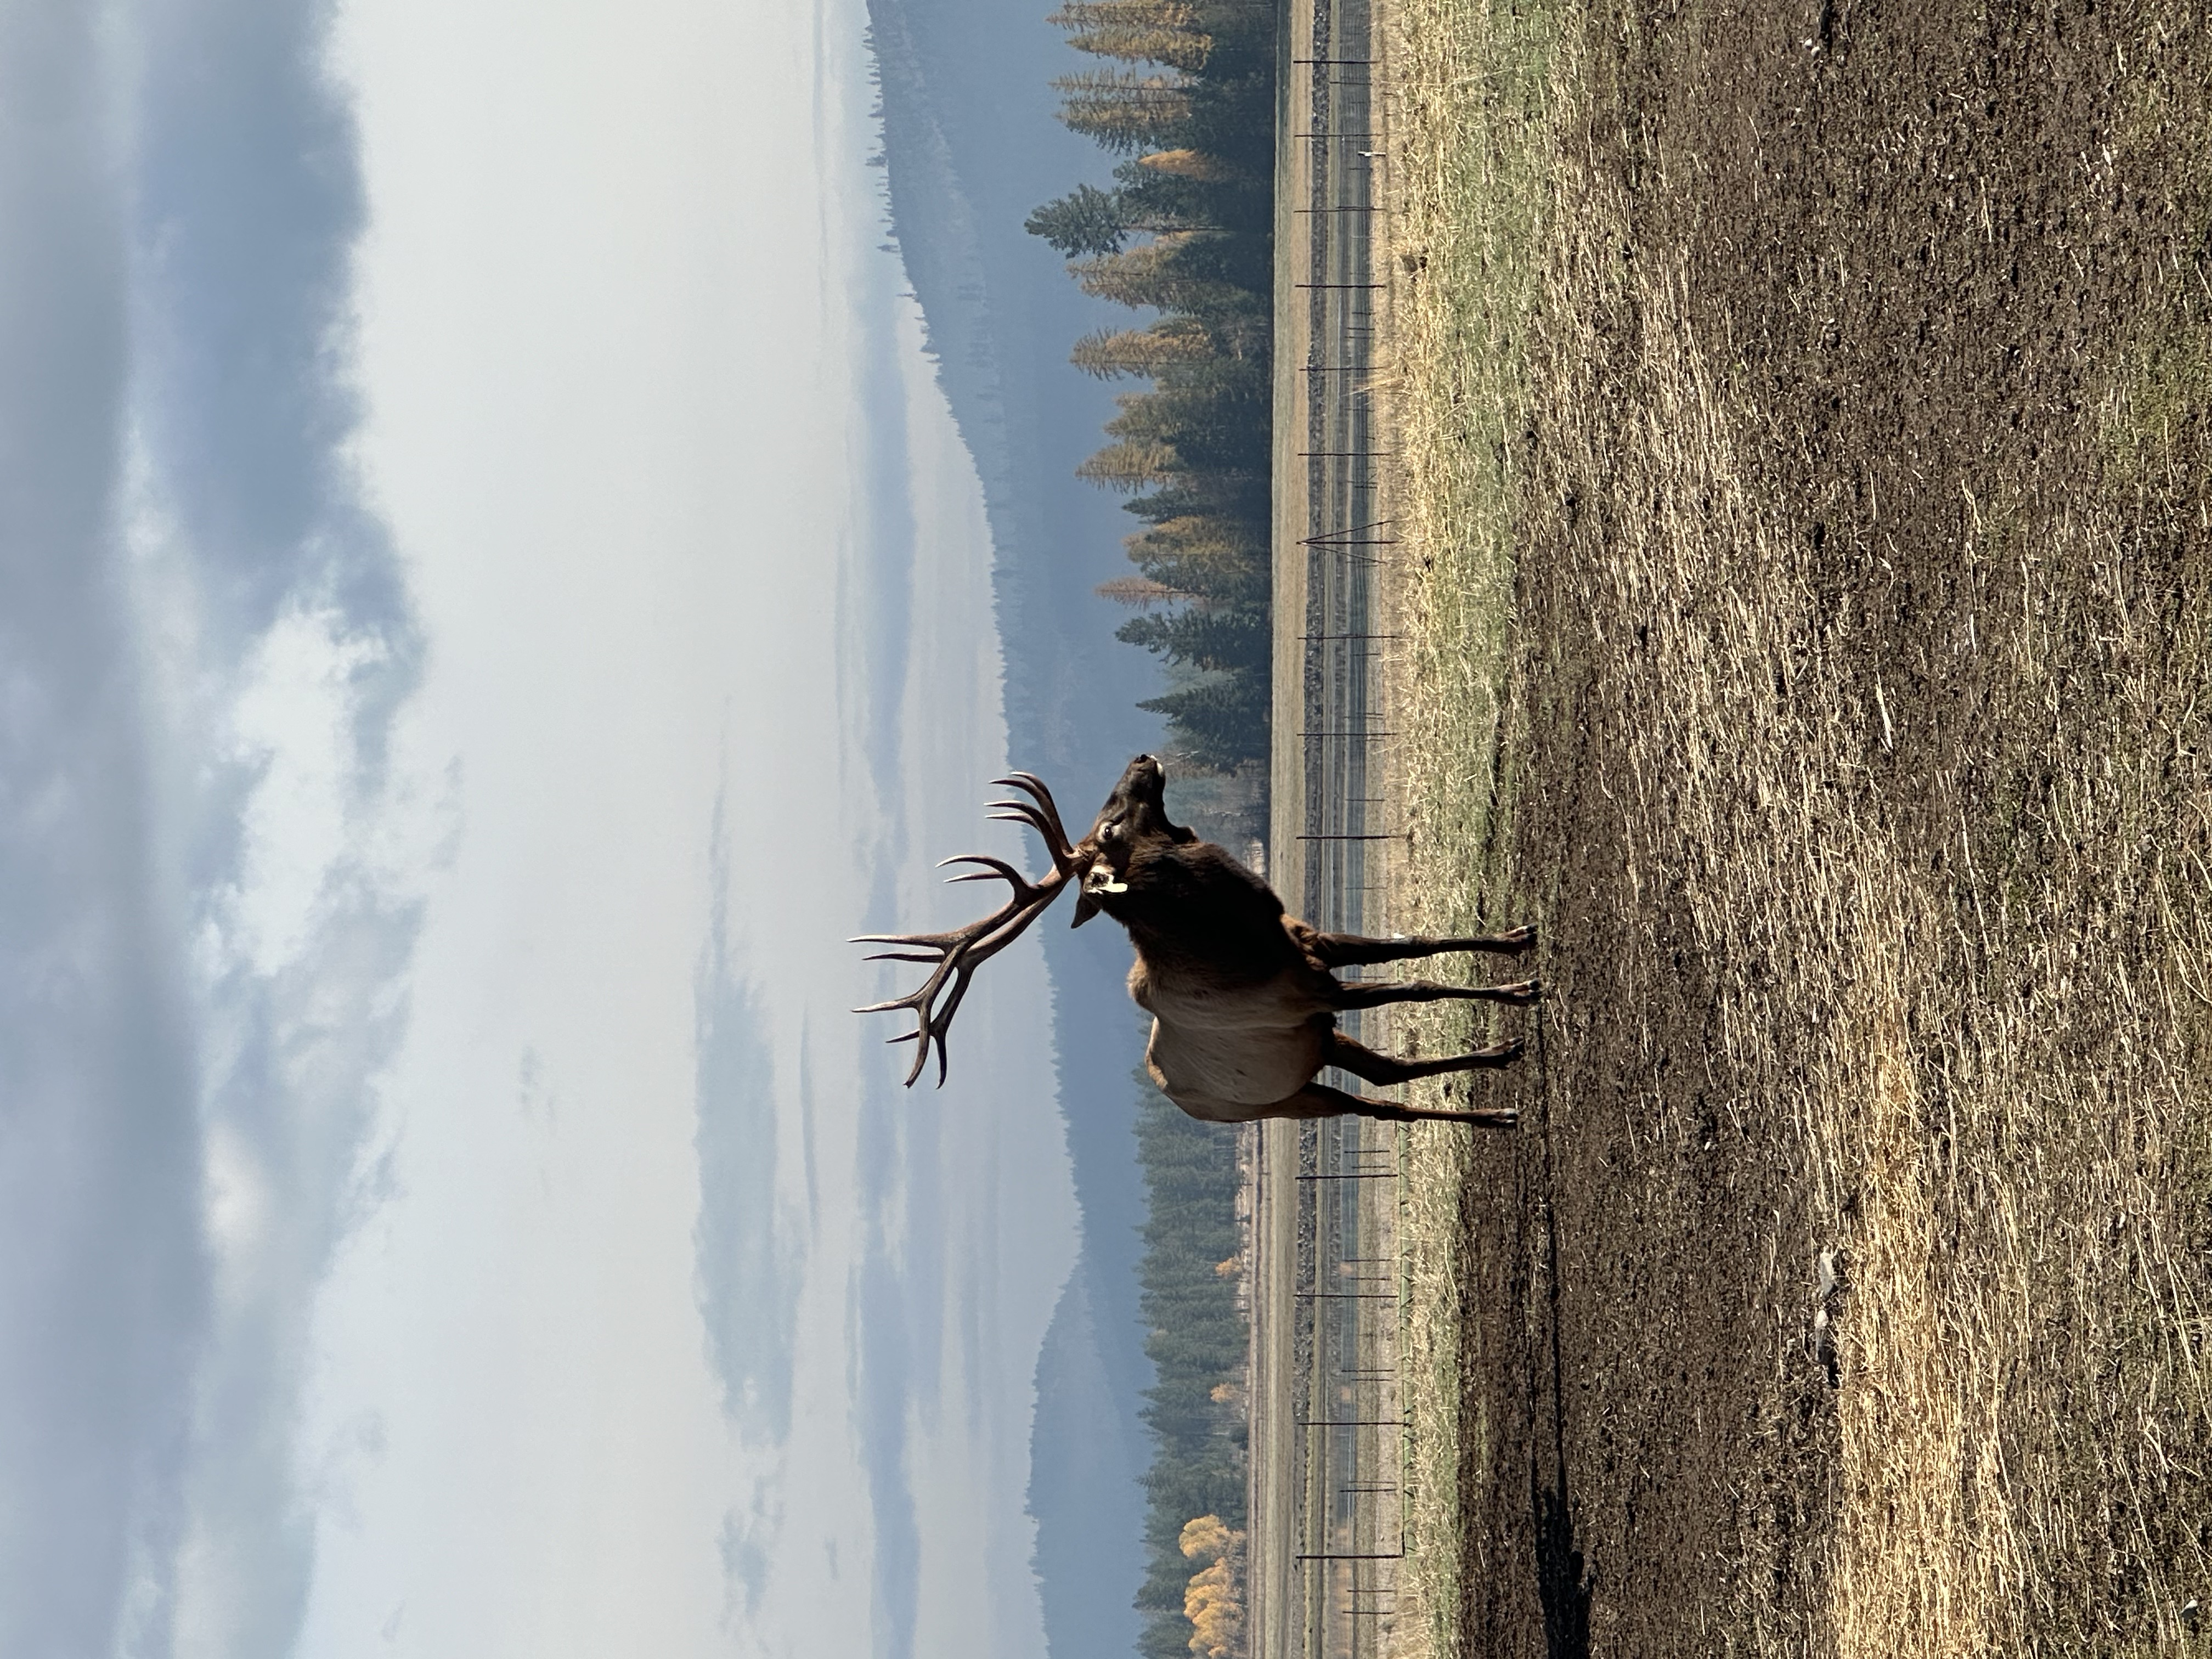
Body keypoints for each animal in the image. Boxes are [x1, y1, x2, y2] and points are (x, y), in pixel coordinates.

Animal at [854, 754, 1538, 1126]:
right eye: (1110, 828)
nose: (1142, 759)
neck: (1240, 944)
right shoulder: (1311, 995)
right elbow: (1416, 984)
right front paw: (1520, 991)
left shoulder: (1311, 946)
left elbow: (1412, 946)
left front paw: (1515, 938)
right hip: (1284, 1097)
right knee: (1378, 1103)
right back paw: (1499, 1100)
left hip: (1313, 1049)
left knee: (1391, 1075)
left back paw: (1500, 1086)